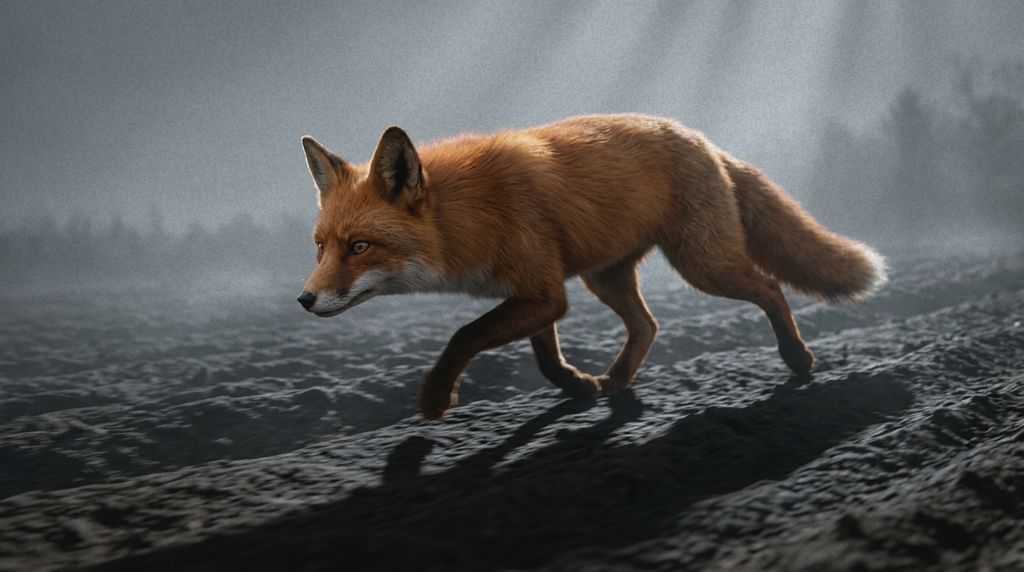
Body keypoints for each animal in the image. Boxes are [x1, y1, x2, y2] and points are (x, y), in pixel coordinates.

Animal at [297, 114, 886, 420]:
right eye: (320, 248)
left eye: (360, 247)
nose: (304, 300)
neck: (471, 214)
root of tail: (701, 137)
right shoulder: (538, 290)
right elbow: (544, 358)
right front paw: (578, 388)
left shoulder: (543, 292)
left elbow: (465, 335)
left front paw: (438, 396)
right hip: (605, 277)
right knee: (648, 325)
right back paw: (619, 382)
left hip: (703, 265)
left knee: (770, 287)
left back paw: (797, 358)